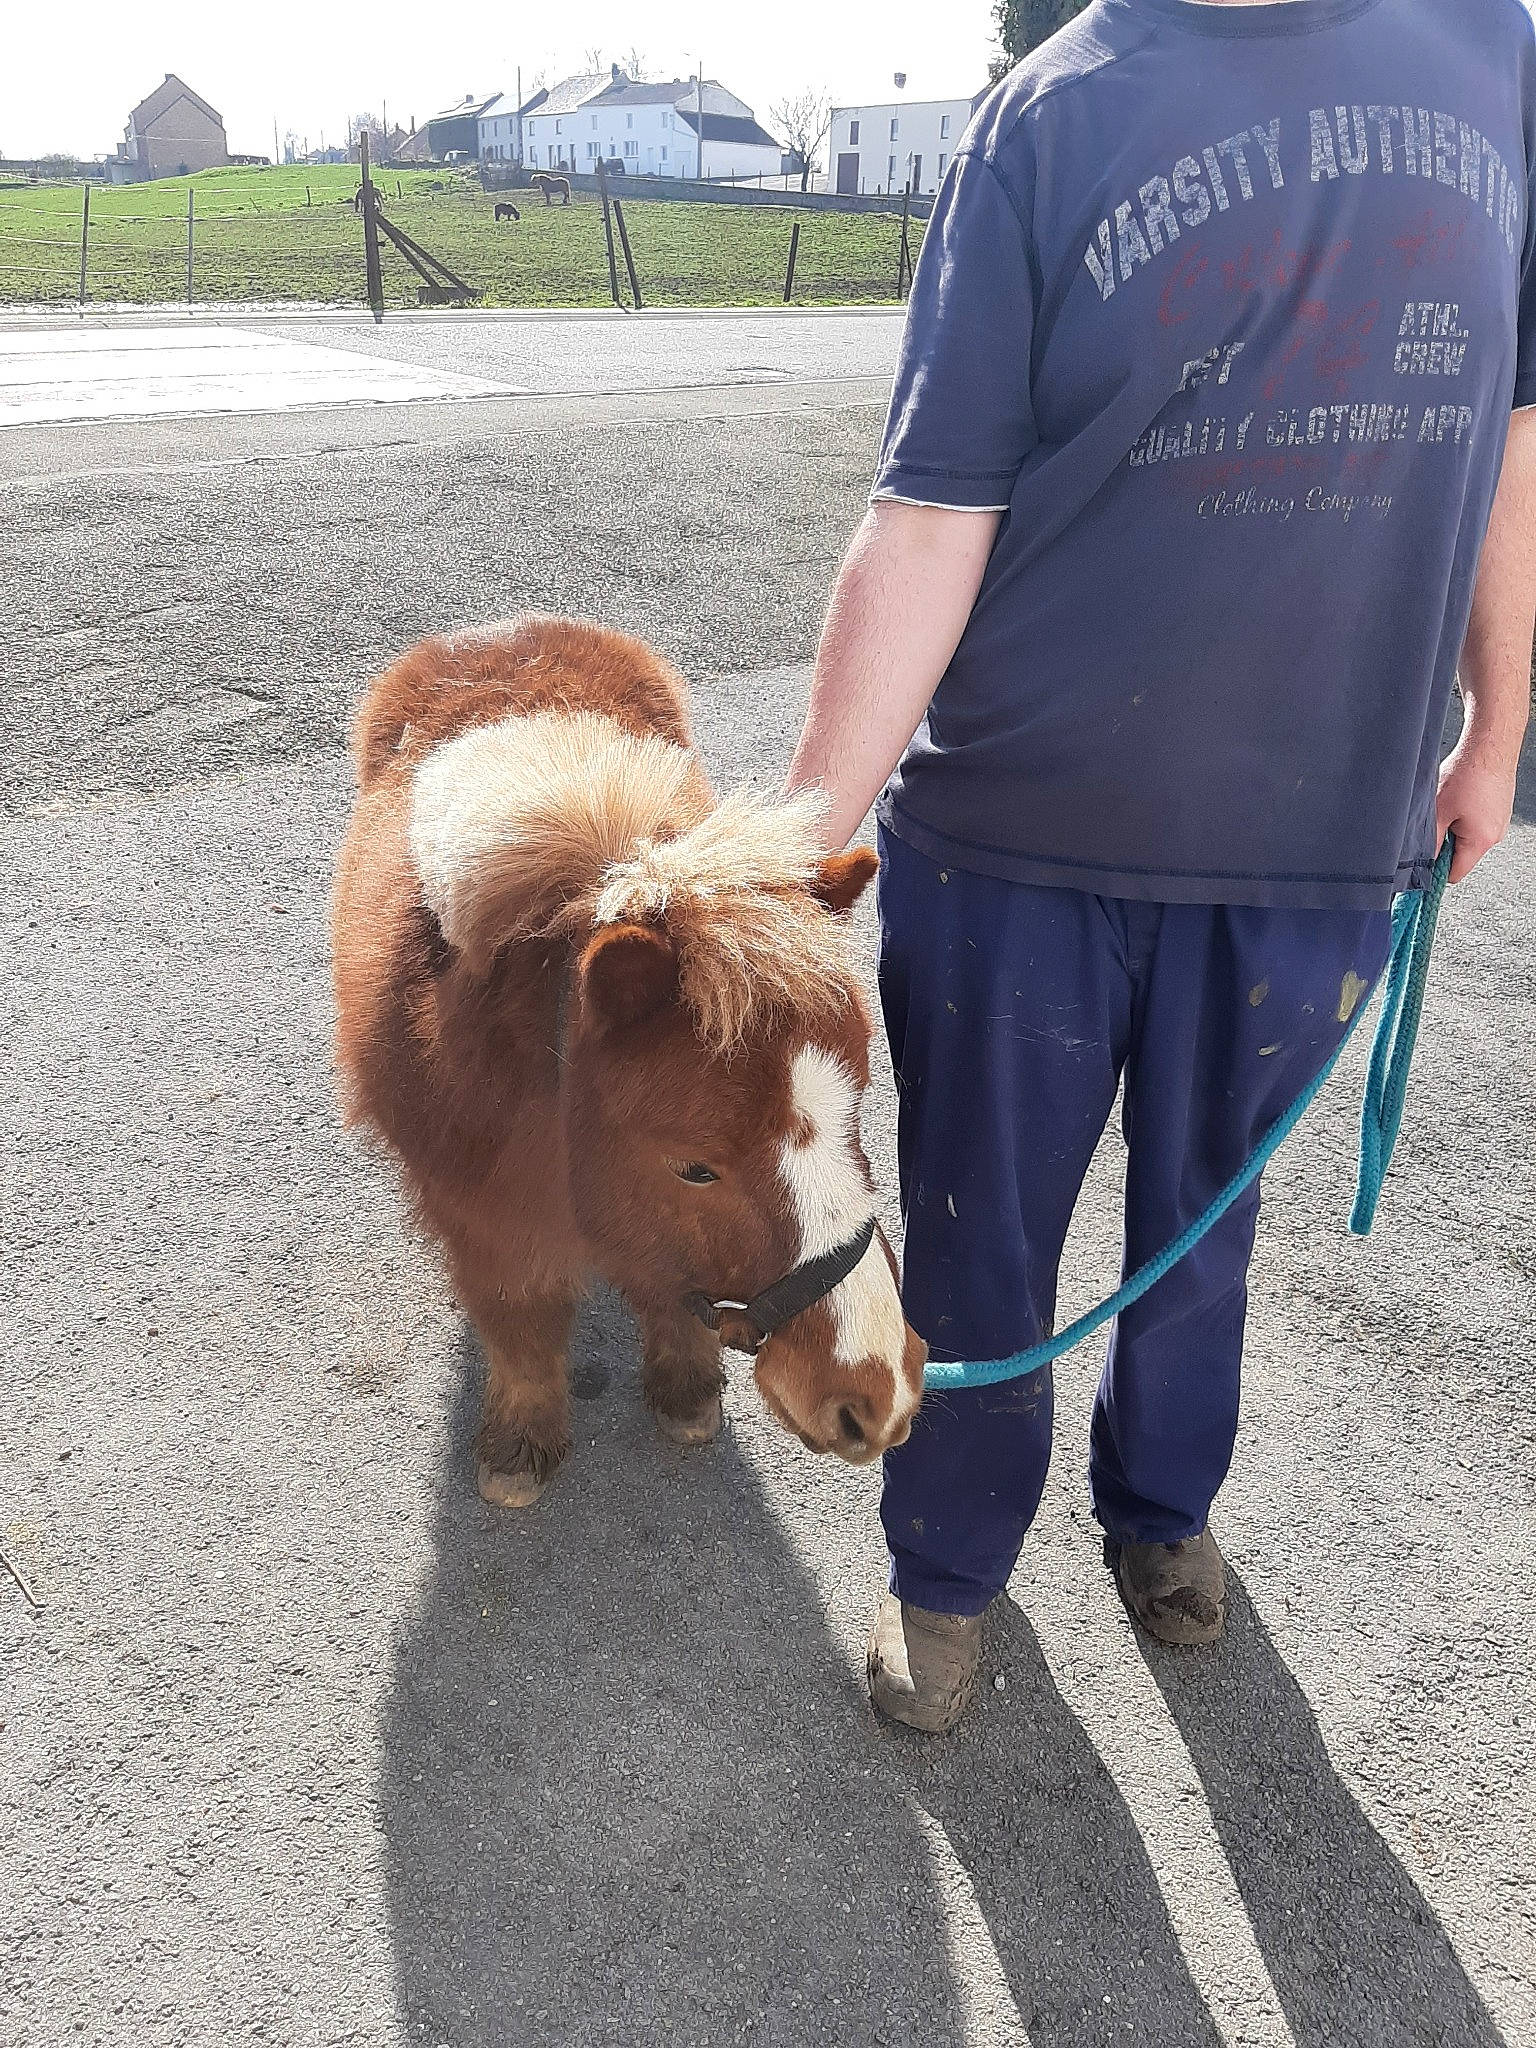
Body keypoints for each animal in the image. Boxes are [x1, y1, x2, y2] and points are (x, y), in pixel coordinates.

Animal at [331, 616, 926, 1509]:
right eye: (695, 1169)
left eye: (857, 1111)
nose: (877, 1394)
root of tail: (499, 630)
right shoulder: (477, 1216)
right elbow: (520, 1322)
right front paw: (519, 1447)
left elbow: (666, 1288)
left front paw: (684, 1391)